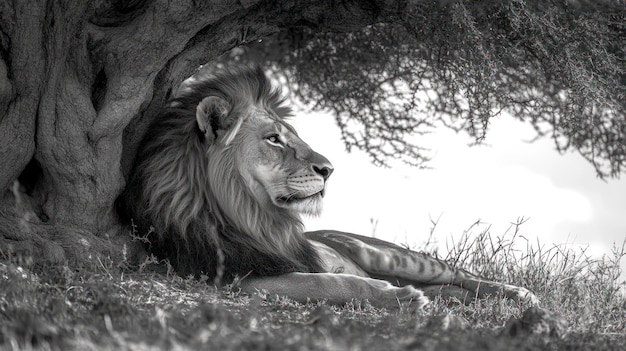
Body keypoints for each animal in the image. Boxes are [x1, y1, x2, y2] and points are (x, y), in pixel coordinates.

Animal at [117, 65, 536, 308]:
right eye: (274, 139)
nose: (329, 169)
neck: (251, 214)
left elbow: (329, 277)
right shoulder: (236, 276)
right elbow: (330, 283)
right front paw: (398, 299)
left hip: (390, 255)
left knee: (458, 274)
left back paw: (519, 294)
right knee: (446, 287)